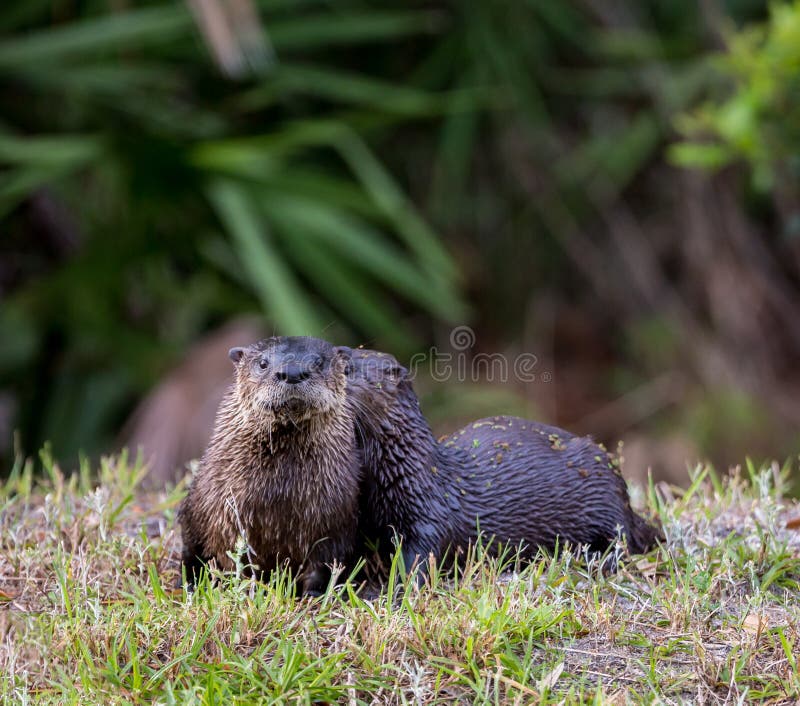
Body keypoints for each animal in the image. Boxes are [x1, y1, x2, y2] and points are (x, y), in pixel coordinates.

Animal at [179, 336, 360, 594]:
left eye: (319, 362)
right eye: (263, 363)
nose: (292, 372)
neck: (277, 497)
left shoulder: (336, 520)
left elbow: (323, 565)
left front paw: (314, 594)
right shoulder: (210, 513)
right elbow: (214, 556)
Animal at [345, 348, 662, 578]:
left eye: (347, 369)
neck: (404, 476)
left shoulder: (428, 520)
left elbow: (418, 562)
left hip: (604, 490)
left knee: (624, 538)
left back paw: (599, 559)